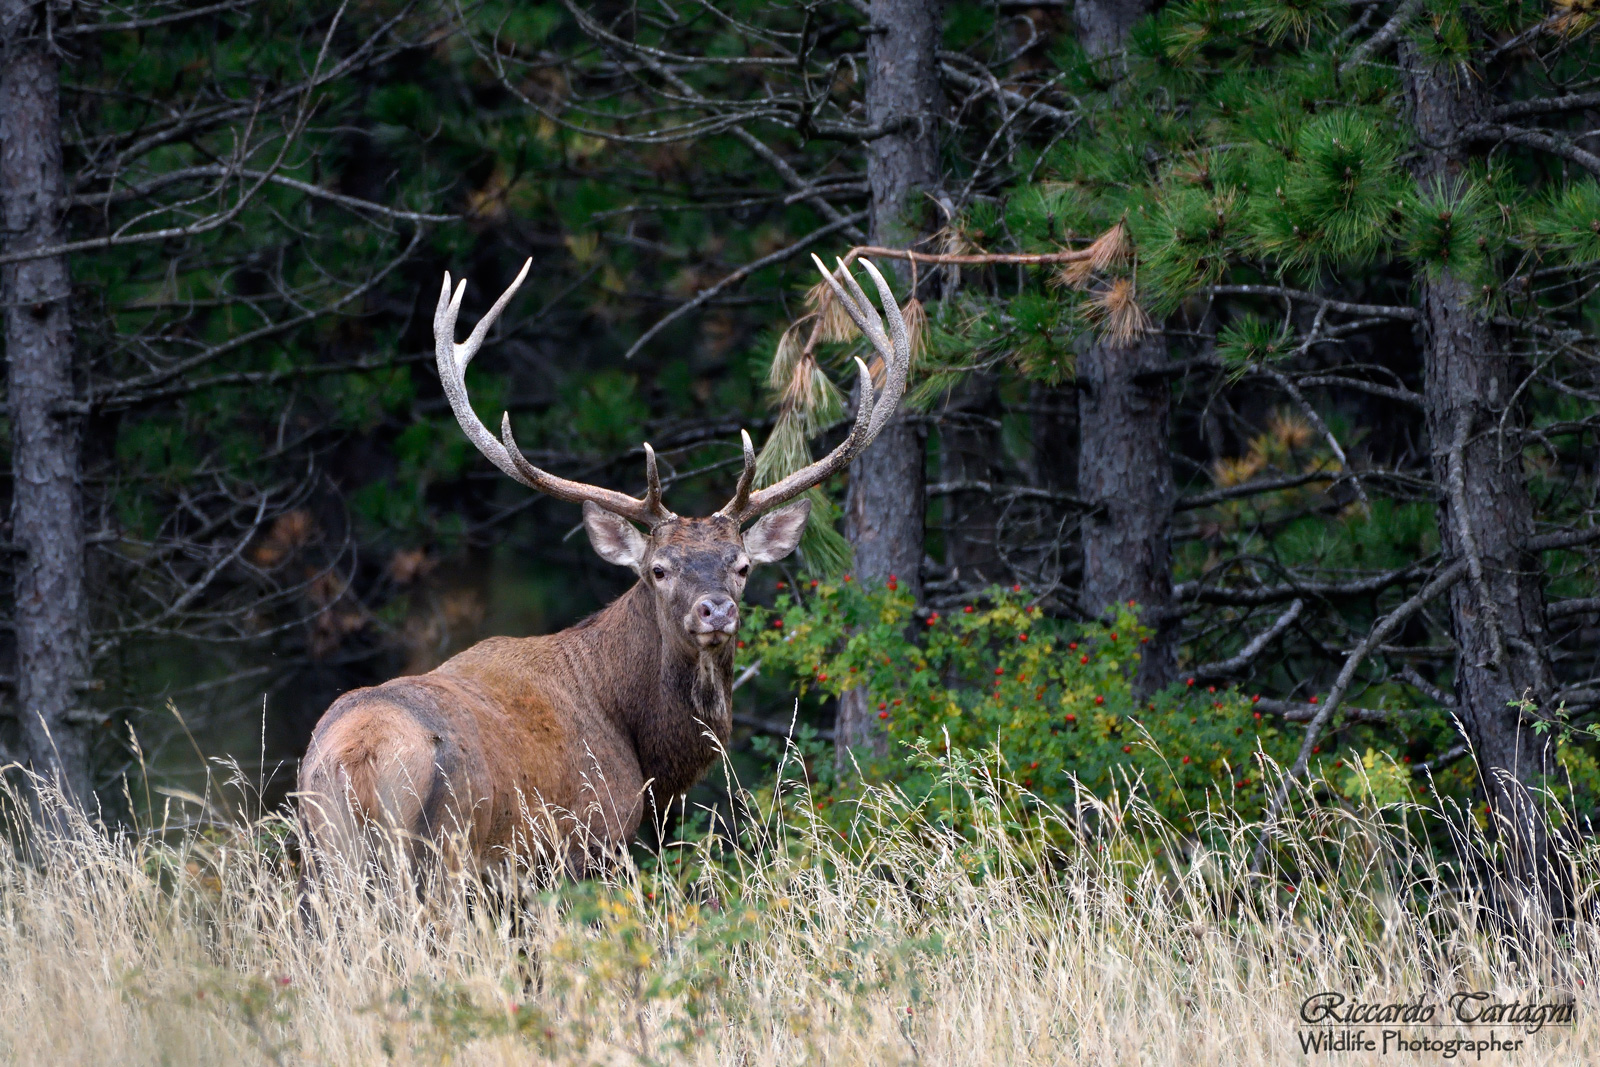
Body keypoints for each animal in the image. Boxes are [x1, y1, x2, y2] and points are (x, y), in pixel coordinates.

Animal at [296, 253, 910, 880]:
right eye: (659, 569)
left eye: (741, 566)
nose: (716, 610)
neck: (638, 745)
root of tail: (360, 758)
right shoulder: (589, 838)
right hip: (444, 849)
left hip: (325, 850)